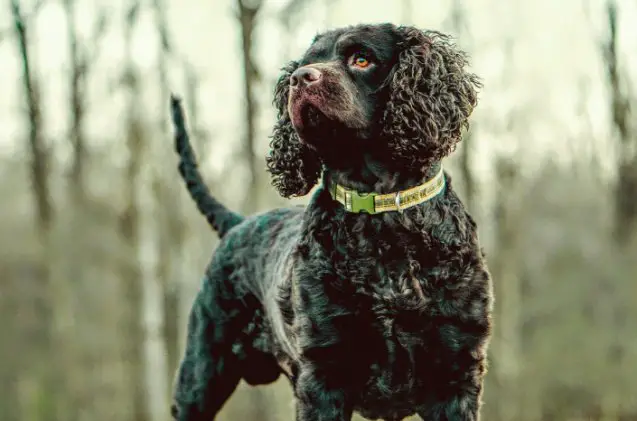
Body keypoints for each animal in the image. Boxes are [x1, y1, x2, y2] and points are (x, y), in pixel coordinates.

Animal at [169, 22, 492, 420]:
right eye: (306, 62)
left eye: (361, 59)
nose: (300, 79)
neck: (382, 221)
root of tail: (237, 223)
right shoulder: (324, 372)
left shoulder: (456, 372)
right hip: (200, 376)